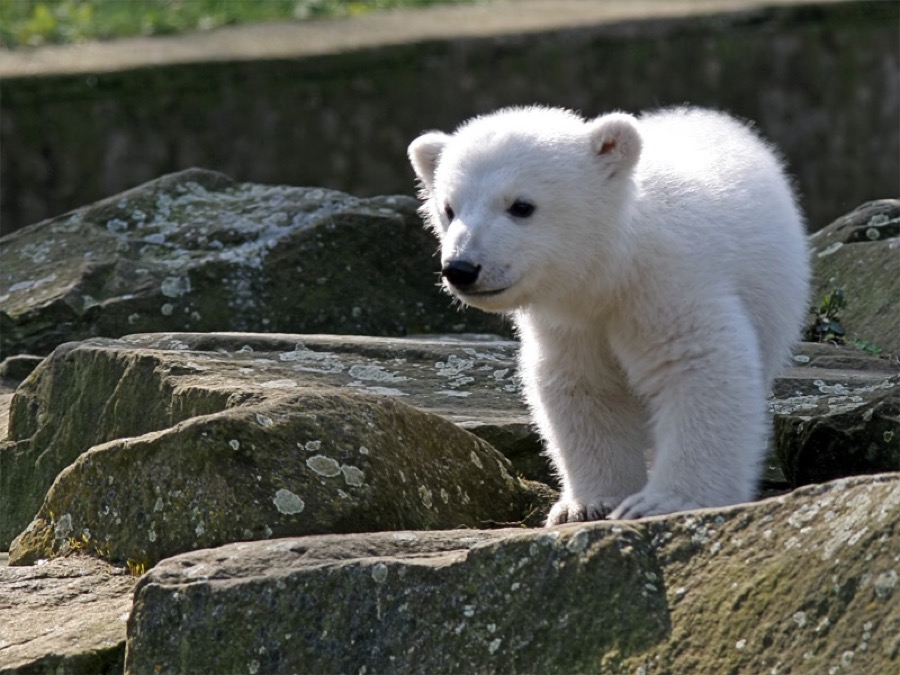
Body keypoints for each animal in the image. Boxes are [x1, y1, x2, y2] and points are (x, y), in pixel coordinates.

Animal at [408, 105, 810, 524]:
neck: (612, 267)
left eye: (521, 206)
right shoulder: (568, 323)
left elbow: (698, 366)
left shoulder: (669, 283)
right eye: (449, 209)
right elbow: (581, 385)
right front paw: (587, 505)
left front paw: (663, 501)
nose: (461, 268)